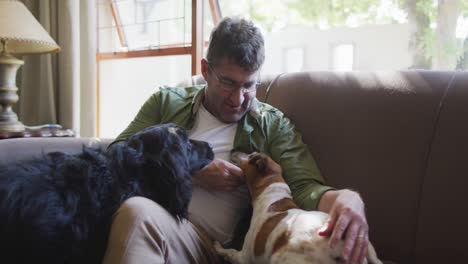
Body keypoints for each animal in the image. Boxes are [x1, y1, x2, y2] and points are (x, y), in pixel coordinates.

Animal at [214, 153, 382, 264]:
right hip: (367, 245)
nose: (234, 149)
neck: (273, 194)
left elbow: (229, 252)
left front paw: (218, 247)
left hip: (280, 258)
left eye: (251, 154)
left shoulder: (245, 256)